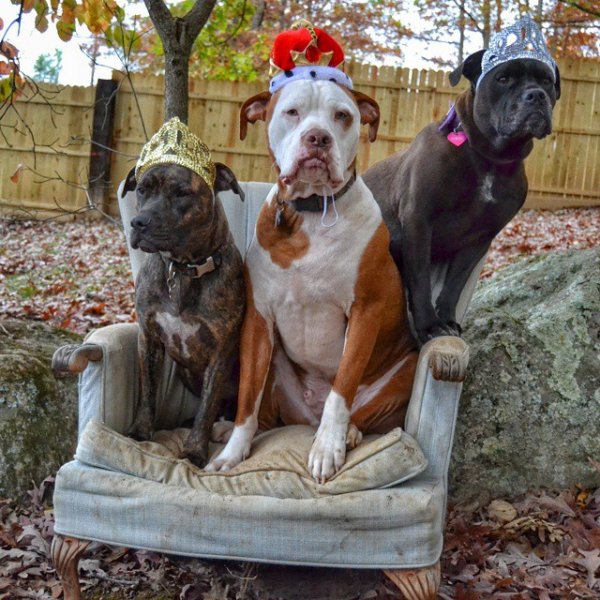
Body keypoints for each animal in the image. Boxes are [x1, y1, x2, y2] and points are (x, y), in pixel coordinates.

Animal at [122, 123, 246, 468]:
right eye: (142, 189)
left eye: (181, 193)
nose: (139, 222)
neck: (182, 268)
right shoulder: (148, 338)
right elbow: (148, 393)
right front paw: (140, 432)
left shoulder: (220, 352)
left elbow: (207, 407)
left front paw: (194, 451)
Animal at [206, 25, 418, 482]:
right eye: (292, 112)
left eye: (343, 116)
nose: (317, 138)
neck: (308, 213)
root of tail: (304, 417)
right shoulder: (258, 322)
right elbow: (247, 400)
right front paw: (233, 451)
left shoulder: (365, 312)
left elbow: (342, 390)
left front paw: (326, 448)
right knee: (266, 414)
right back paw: (225, 429)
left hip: (405, 369)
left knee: (359, 411)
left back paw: (347, 435)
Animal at [364, 16, 560, 346]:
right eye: (503, 78)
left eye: (546, 80)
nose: (536, 95)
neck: (489, 158)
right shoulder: (419, 221)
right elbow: (420, 281)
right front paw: (430, 326)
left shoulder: (479, 237)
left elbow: (454, 285)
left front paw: (446, 319)